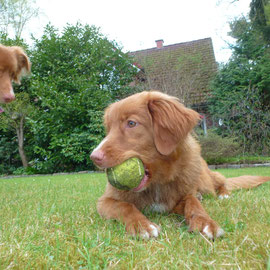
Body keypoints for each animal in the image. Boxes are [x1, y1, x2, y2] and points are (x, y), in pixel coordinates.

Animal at [91, 92, 270, 239]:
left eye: (131, 123)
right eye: (109, 128)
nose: (94, 157)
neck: (157, 183)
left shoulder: (181, 198)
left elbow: (193, 202)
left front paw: (205, 222)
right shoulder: (104, 201)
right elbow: (125, 206)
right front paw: (142, 225)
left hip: (205, 179)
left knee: (220, 183)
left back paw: (223, 194)